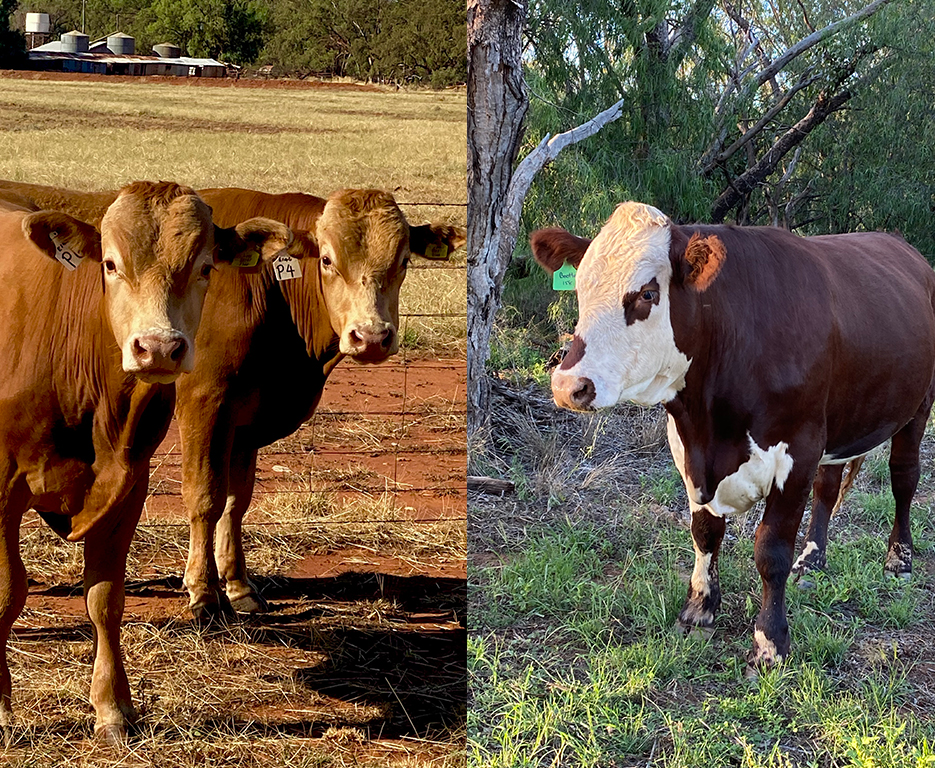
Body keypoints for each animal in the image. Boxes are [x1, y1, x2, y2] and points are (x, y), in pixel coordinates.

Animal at [0, 181, 466, 621]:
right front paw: (203, 592)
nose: (371, 337)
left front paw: (239, 586)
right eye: (328, 260)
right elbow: (204, 497)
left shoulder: (245, 422)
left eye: (403, 261)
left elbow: (235, 502)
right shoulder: (204, 403)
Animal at [0, 182, 290, 743]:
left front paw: (112, 707)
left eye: (205, 267)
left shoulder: (127, 487)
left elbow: (105, 599)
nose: (157, 348)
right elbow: (7, 594)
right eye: (111, 264)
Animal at [531, 202, 935, 666]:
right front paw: (699, 609)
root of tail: (901, 244)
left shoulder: (797, 449)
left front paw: (770, 641)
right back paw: (812, 561)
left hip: (918, 406)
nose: (568, 386)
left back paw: (899, 560)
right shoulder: (689, 449)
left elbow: (771, 550)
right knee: (829, 485)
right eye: (579, 288)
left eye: (648, 294)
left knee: (904, 477)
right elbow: (705, 532)